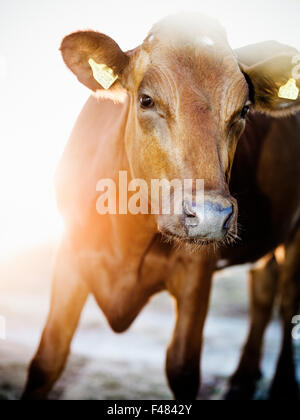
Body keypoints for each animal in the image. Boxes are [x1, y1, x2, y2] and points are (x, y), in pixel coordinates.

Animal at [21, 13, 300, 400]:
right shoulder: (70, 253)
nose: (210, 216)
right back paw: (243, 378)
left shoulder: (197, 270)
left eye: (244, 110)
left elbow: (182, 366)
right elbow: (48, 357)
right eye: (146, 100)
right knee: (263, 285)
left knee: (287, 301)